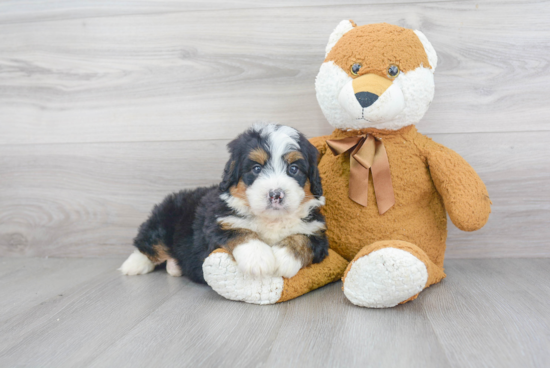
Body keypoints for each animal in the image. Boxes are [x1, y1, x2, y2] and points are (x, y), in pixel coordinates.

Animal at [119, 123, 330, 282]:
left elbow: (302, 239)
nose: (275, 194)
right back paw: (132, 266)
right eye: (256, 168)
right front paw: (258, 259)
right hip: (164, 219)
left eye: (294, 169)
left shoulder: (317, 233)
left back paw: (174, 267)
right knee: (148, 244)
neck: (271, 220)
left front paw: (283, 258)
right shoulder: (217, 224)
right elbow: (242, 231)